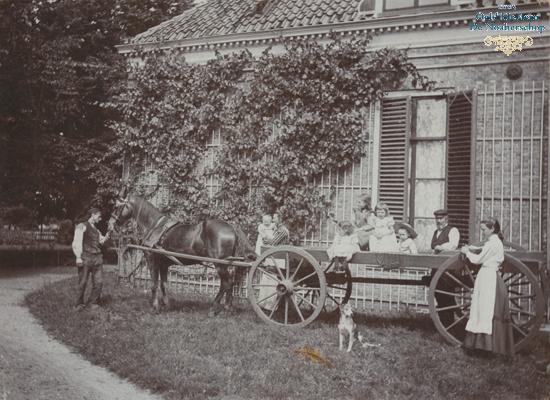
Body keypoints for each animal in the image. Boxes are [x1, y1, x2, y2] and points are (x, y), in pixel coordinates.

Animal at [108, 193, 256, 315]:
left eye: (116, 207)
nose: (111, 224)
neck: (154, 226)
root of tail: (232, 227)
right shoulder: (164, 264)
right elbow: (164, 284)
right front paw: (166, 305)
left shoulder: (152, 259)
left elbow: (154, 284)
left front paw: (155, 307)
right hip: (228, 264)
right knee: (230, 283)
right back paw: (227, 308)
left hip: (220, 264)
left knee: (226, 283)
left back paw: (214, 308)